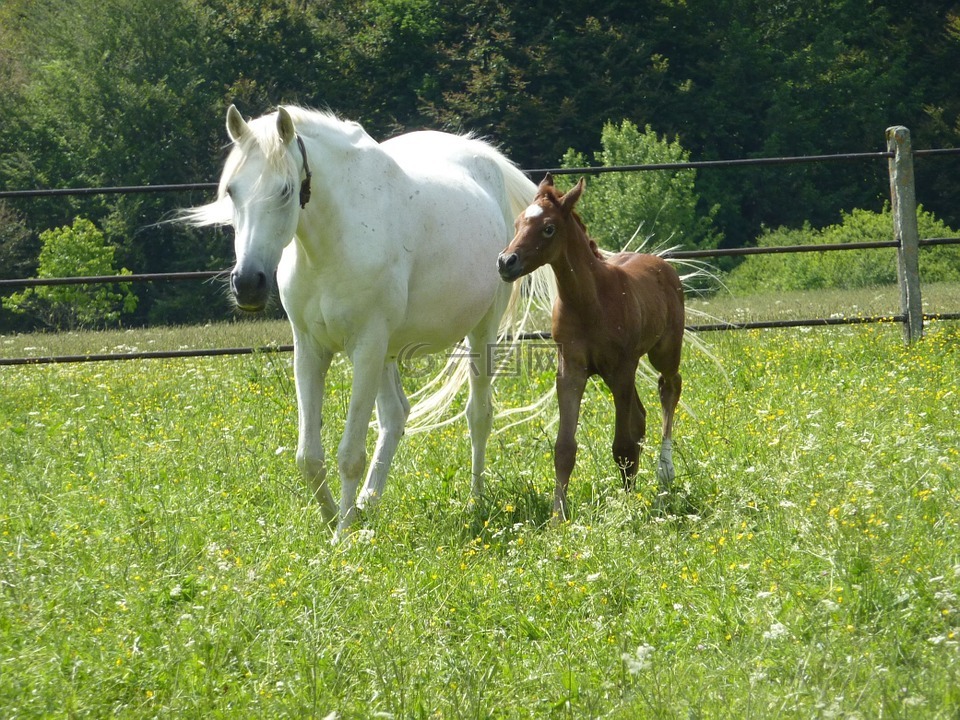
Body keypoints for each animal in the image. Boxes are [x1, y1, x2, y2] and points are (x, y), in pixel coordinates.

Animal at [184, 105, 552, 536]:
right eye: (231, 191)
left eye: (285, 190)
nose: (247, 284)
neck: (332, 242)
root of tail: (484, 157)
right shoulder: (310, 350)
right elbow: (308, 456)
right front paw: (333, 519)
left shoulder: (365, 347)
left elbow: (349, 454)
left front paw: (342, 536)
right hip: (387, 352)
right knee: (395, 416)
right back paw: (367, 504)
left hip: (480, 334)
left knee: (478, 415)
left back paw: (474, 501)